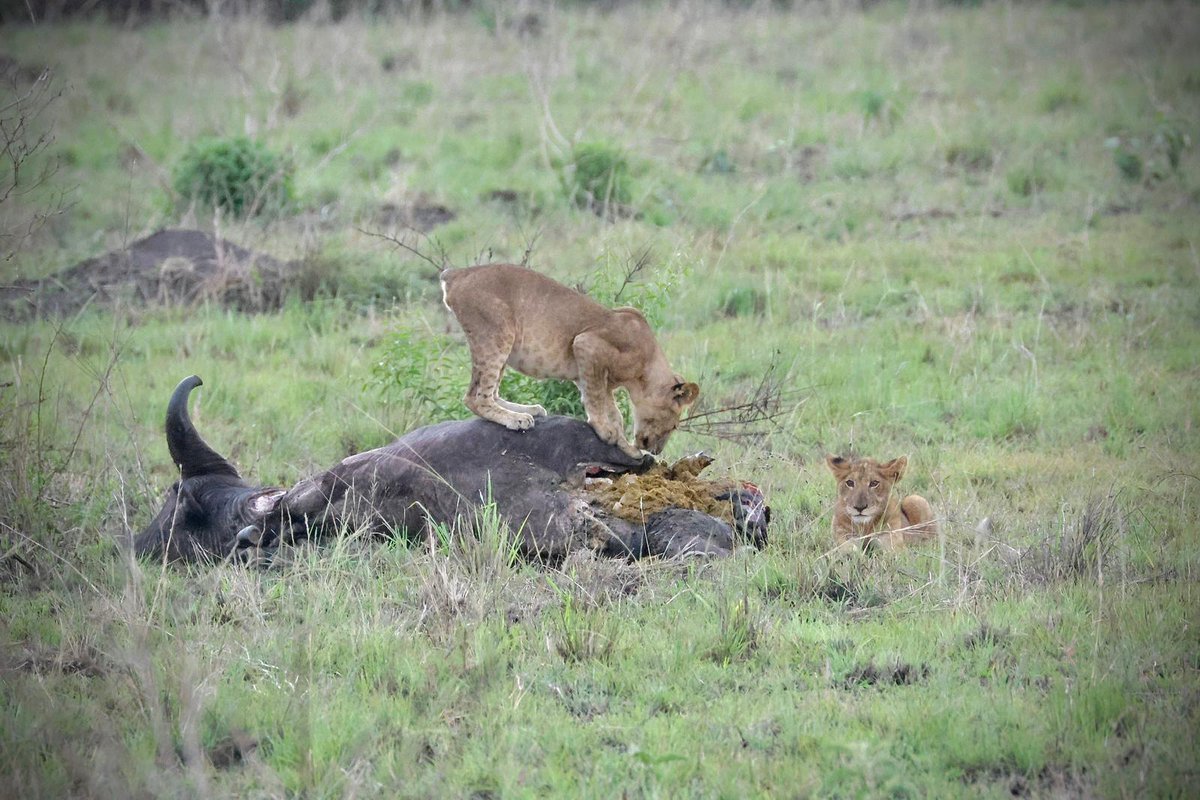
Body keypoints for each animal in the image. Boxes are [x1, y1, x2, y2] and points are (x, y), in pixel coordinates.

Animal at [440, 263, 700, 459]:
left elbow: (613, 411)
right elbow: (597, 402)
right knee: (475, 397)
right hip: (496, 333)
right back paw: (516, 419)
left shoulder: (595, 374)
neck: (645, 369)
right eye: (674, 425)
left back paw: (529, 410)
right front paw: (605, 431)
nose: (656, 451)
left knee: (490, 392)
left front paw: (626, 447)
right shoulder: (586, 344)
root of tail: (457, 272)